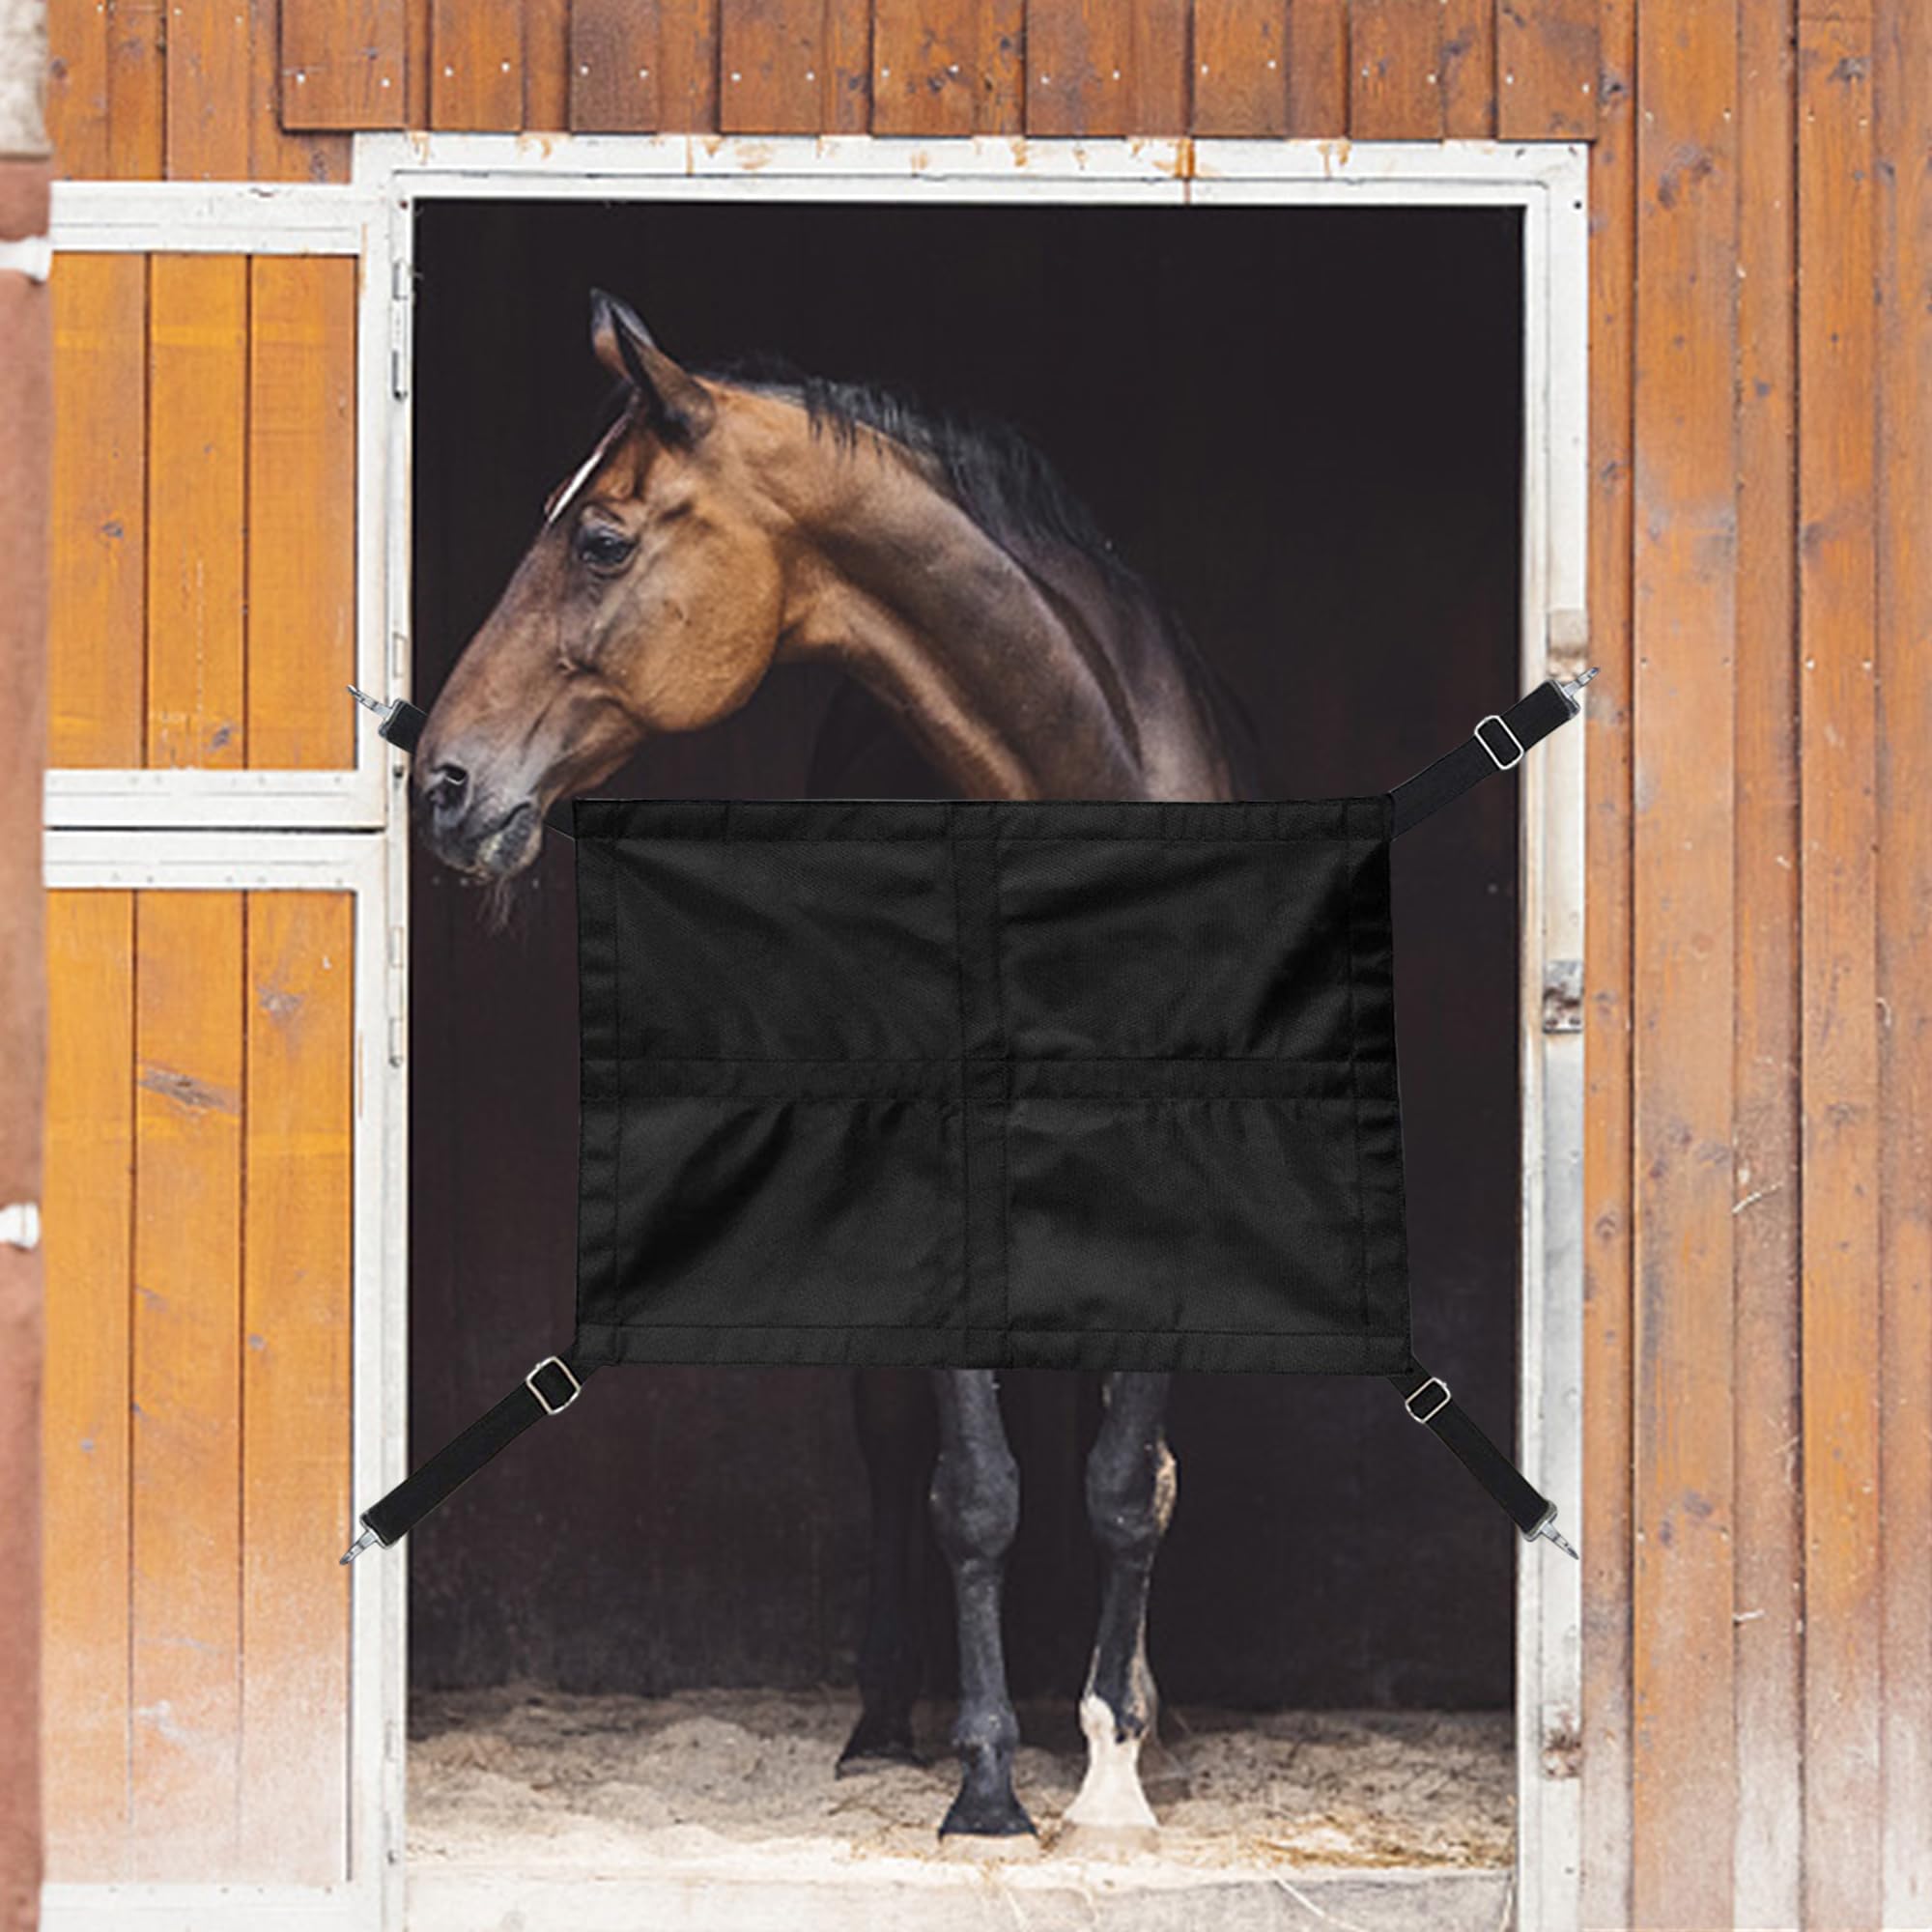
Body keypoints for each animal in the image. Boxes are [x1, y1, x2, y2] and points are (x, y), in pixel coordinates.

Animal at [414, 289, 1260, 1840]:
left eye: (601, 539)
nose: (442, 782)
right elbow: (971, 1488)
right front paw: (987, 1777)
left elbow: (1130, 1478)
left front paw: (1115, 1763)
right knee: (890, 1445)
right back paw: (887, 1723)